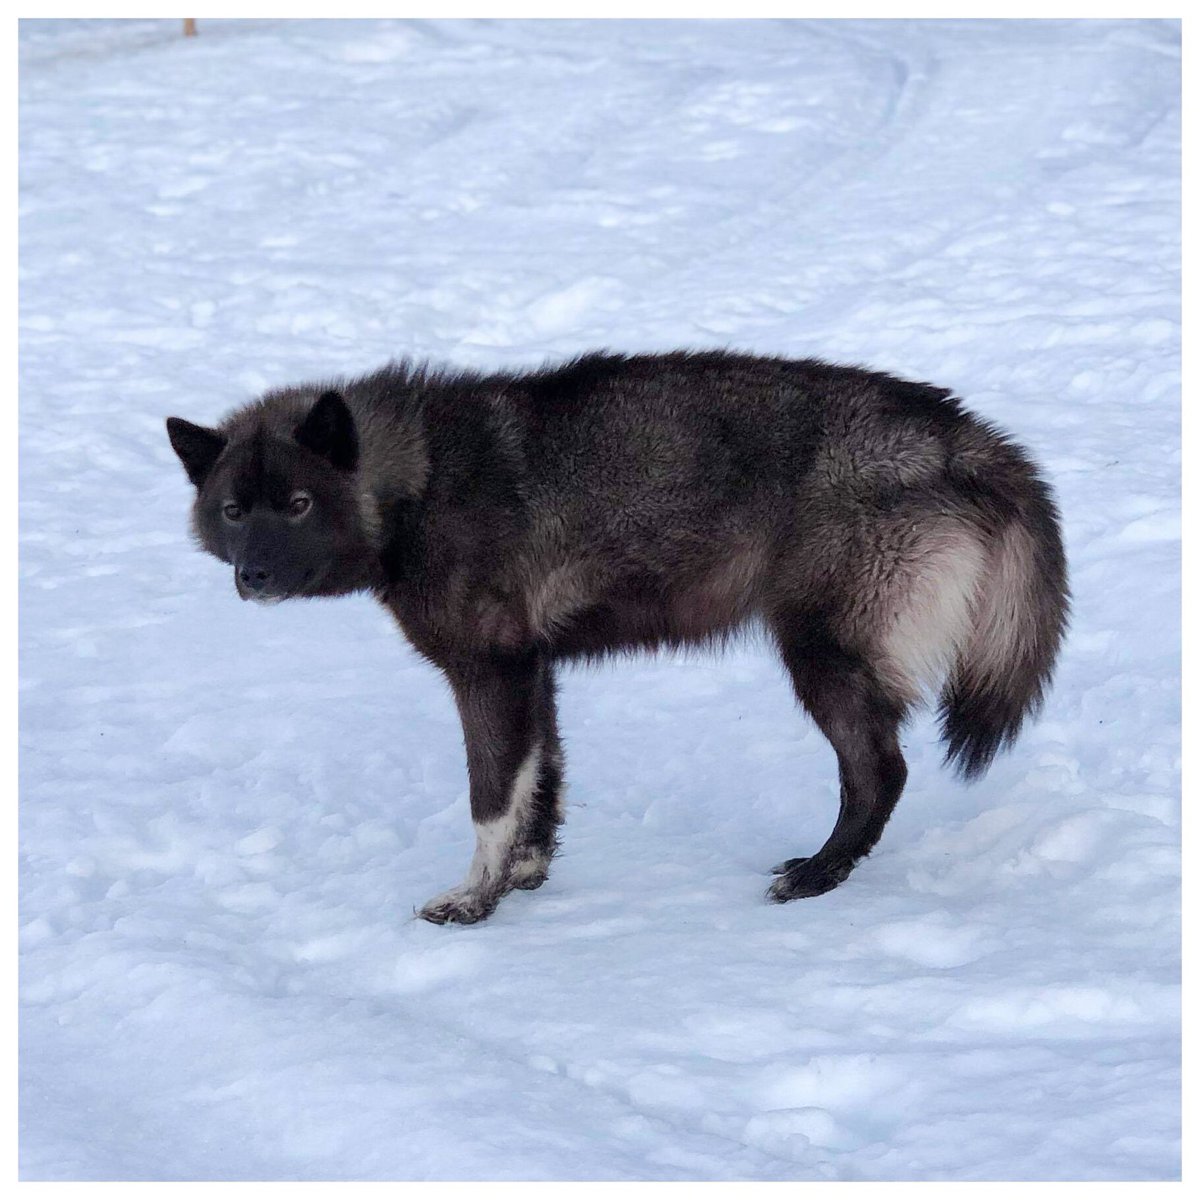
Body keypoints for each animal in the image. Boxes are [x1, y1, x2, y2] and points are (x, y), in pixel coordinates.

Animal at [167, 351, 1068, 924]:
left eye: (298, 504)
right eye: (234, 510)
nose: (254, 576)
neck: (419, 480)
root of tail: (962, 434)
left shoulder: (487, 672)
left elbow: (490, 798)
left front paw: (472, 903)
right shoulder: (531, 669)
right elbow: (542, 786)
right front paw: (525, 880)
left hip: (820, 657)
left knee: (880, 773)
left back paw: (817, 878)